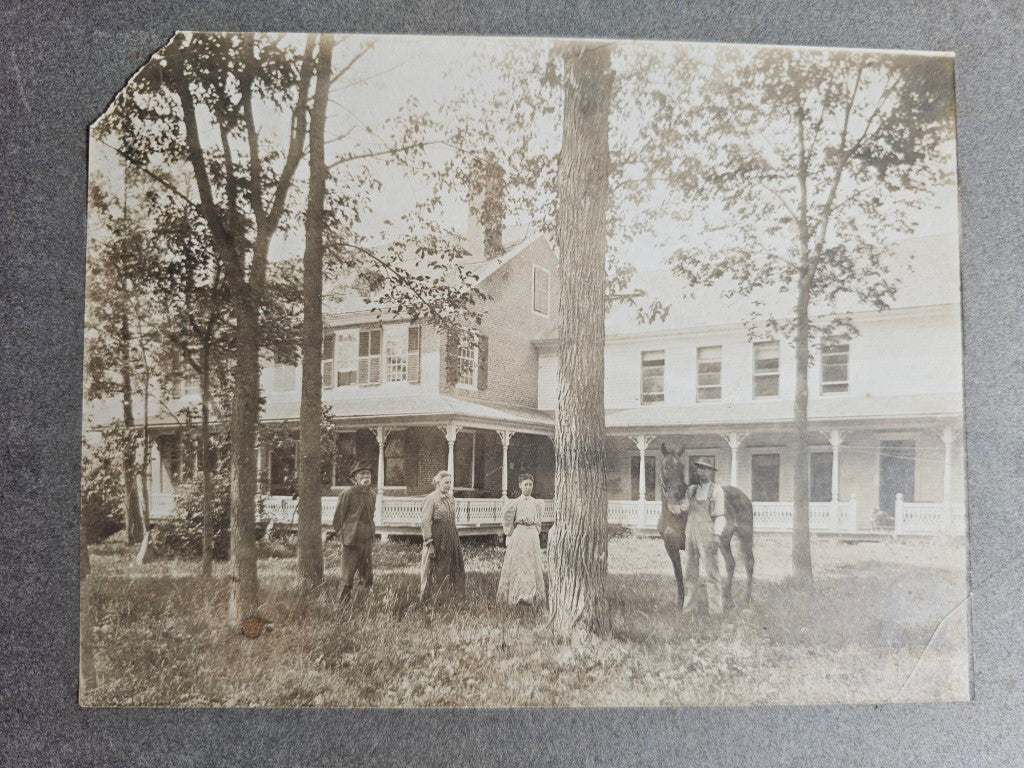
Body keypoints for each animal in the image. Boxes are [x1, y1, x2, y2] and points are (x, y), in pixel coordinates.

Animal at [655, 444, 753, 606]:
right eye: (665, 466)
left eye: (682, 466)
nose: (679, 494)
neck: (675, 516)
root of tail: (742, 495)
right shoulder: (670, 547)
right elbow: (678, 574)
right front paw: (681, 602)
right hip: (723, 541)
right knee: (730, 563)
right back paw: (727, 598)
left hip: (746, 535)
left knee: (749, 563)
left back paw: (746, 598)